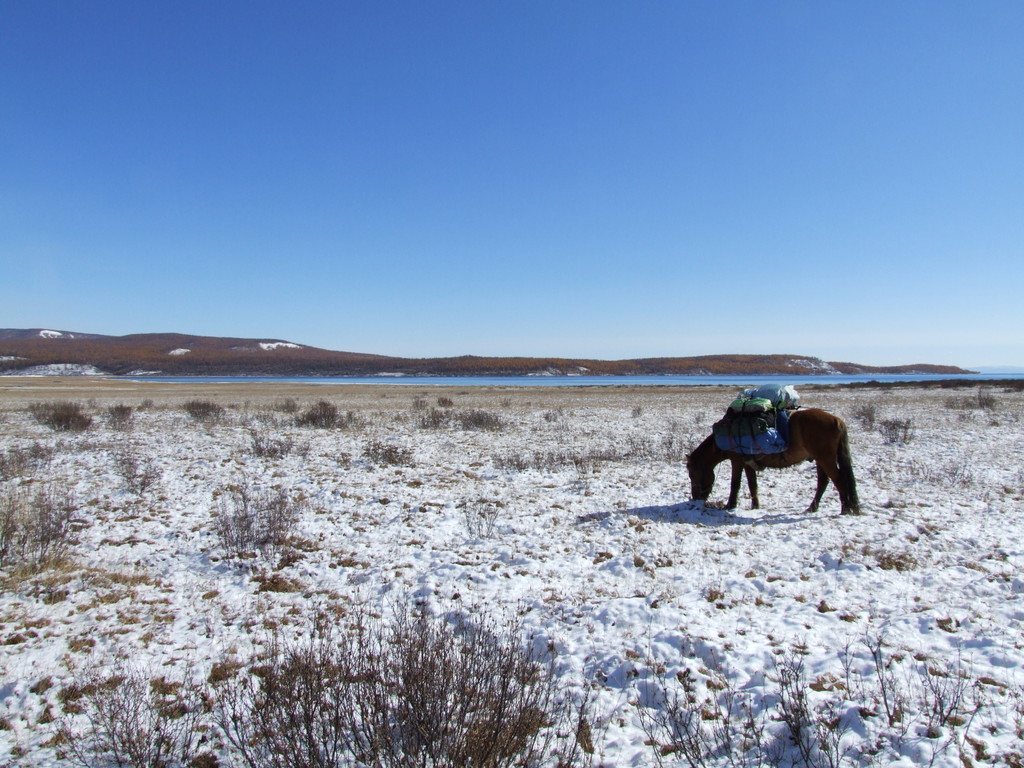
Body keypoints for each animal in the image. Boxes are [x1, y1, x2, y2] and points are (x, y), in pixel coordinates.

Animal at [684, 409, 860, 518]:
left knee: (839, 480)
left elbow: (735, 484)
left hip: (825, 459)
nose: (696, 498)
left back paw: (845, 509)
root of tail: (837, 420)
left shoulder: (737, 461)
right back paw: (812, 508)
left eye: (692, 474)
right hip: (819, 460)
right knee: (823, 482)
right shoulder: (748, 463)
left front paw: (730, 505)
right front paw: (755, 506)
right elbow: (752, 484)